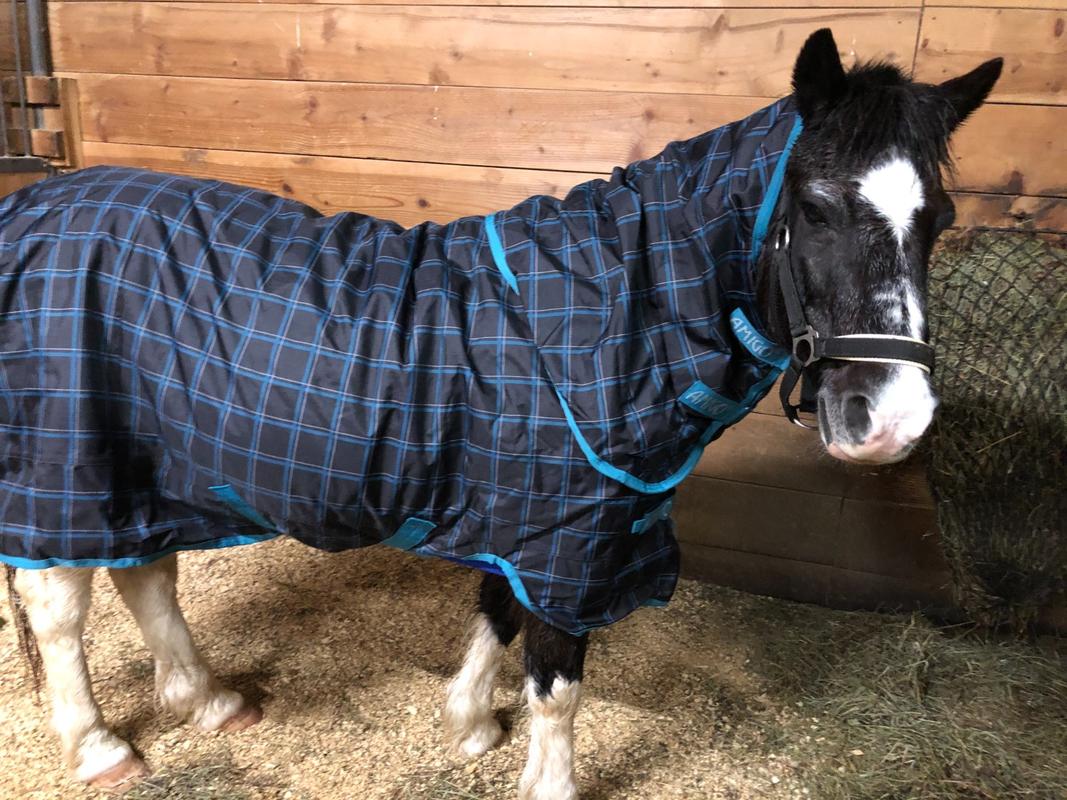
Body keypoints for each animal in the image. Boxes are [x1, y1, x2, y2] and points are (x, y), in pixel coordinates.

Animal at [0, 28, 1000, 799]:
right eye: (817, 208)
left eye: (940, 219)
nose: (893, 419)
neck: (618, 308)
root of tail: (35, 205)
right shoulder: (572, 531)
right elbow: (557, 681)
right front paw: (546, 778)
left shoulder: (529, 514)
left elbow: (496, 607)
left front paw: (471, 722)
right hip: (67, 459)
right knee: (59, 605)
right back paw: (100, 746)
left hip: (145, 467)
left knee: (145, 571)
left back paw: (210, 701)